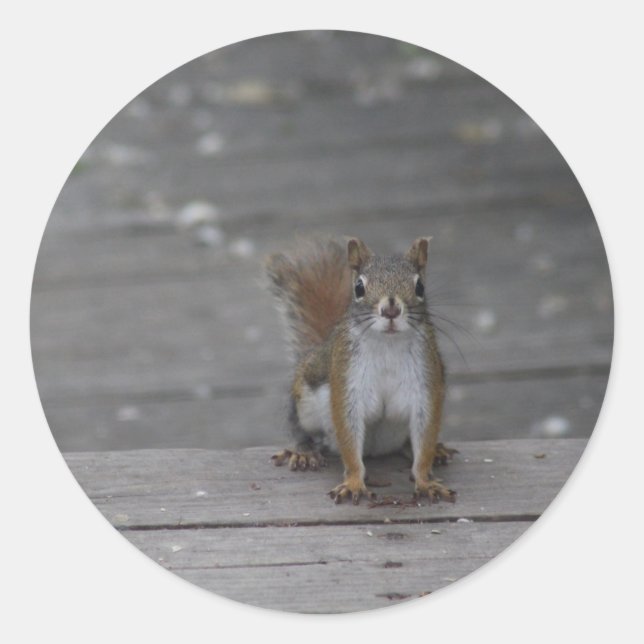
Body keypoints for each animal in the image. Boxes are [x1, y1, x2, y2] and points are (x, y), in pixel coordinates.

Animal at [265, 236, 456, 505]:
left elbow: (425, 435)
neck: (387, 344)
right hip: (306, 399)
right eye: (358, 287)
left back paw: (433, 451)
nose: (390, 310)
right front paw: (354, 482)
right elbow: (349, 435)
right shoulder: (347, 384)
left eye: (420, 286)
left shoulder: (426, 385)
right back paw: (303, 451)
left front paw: (425, 481)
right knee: (299, 426)